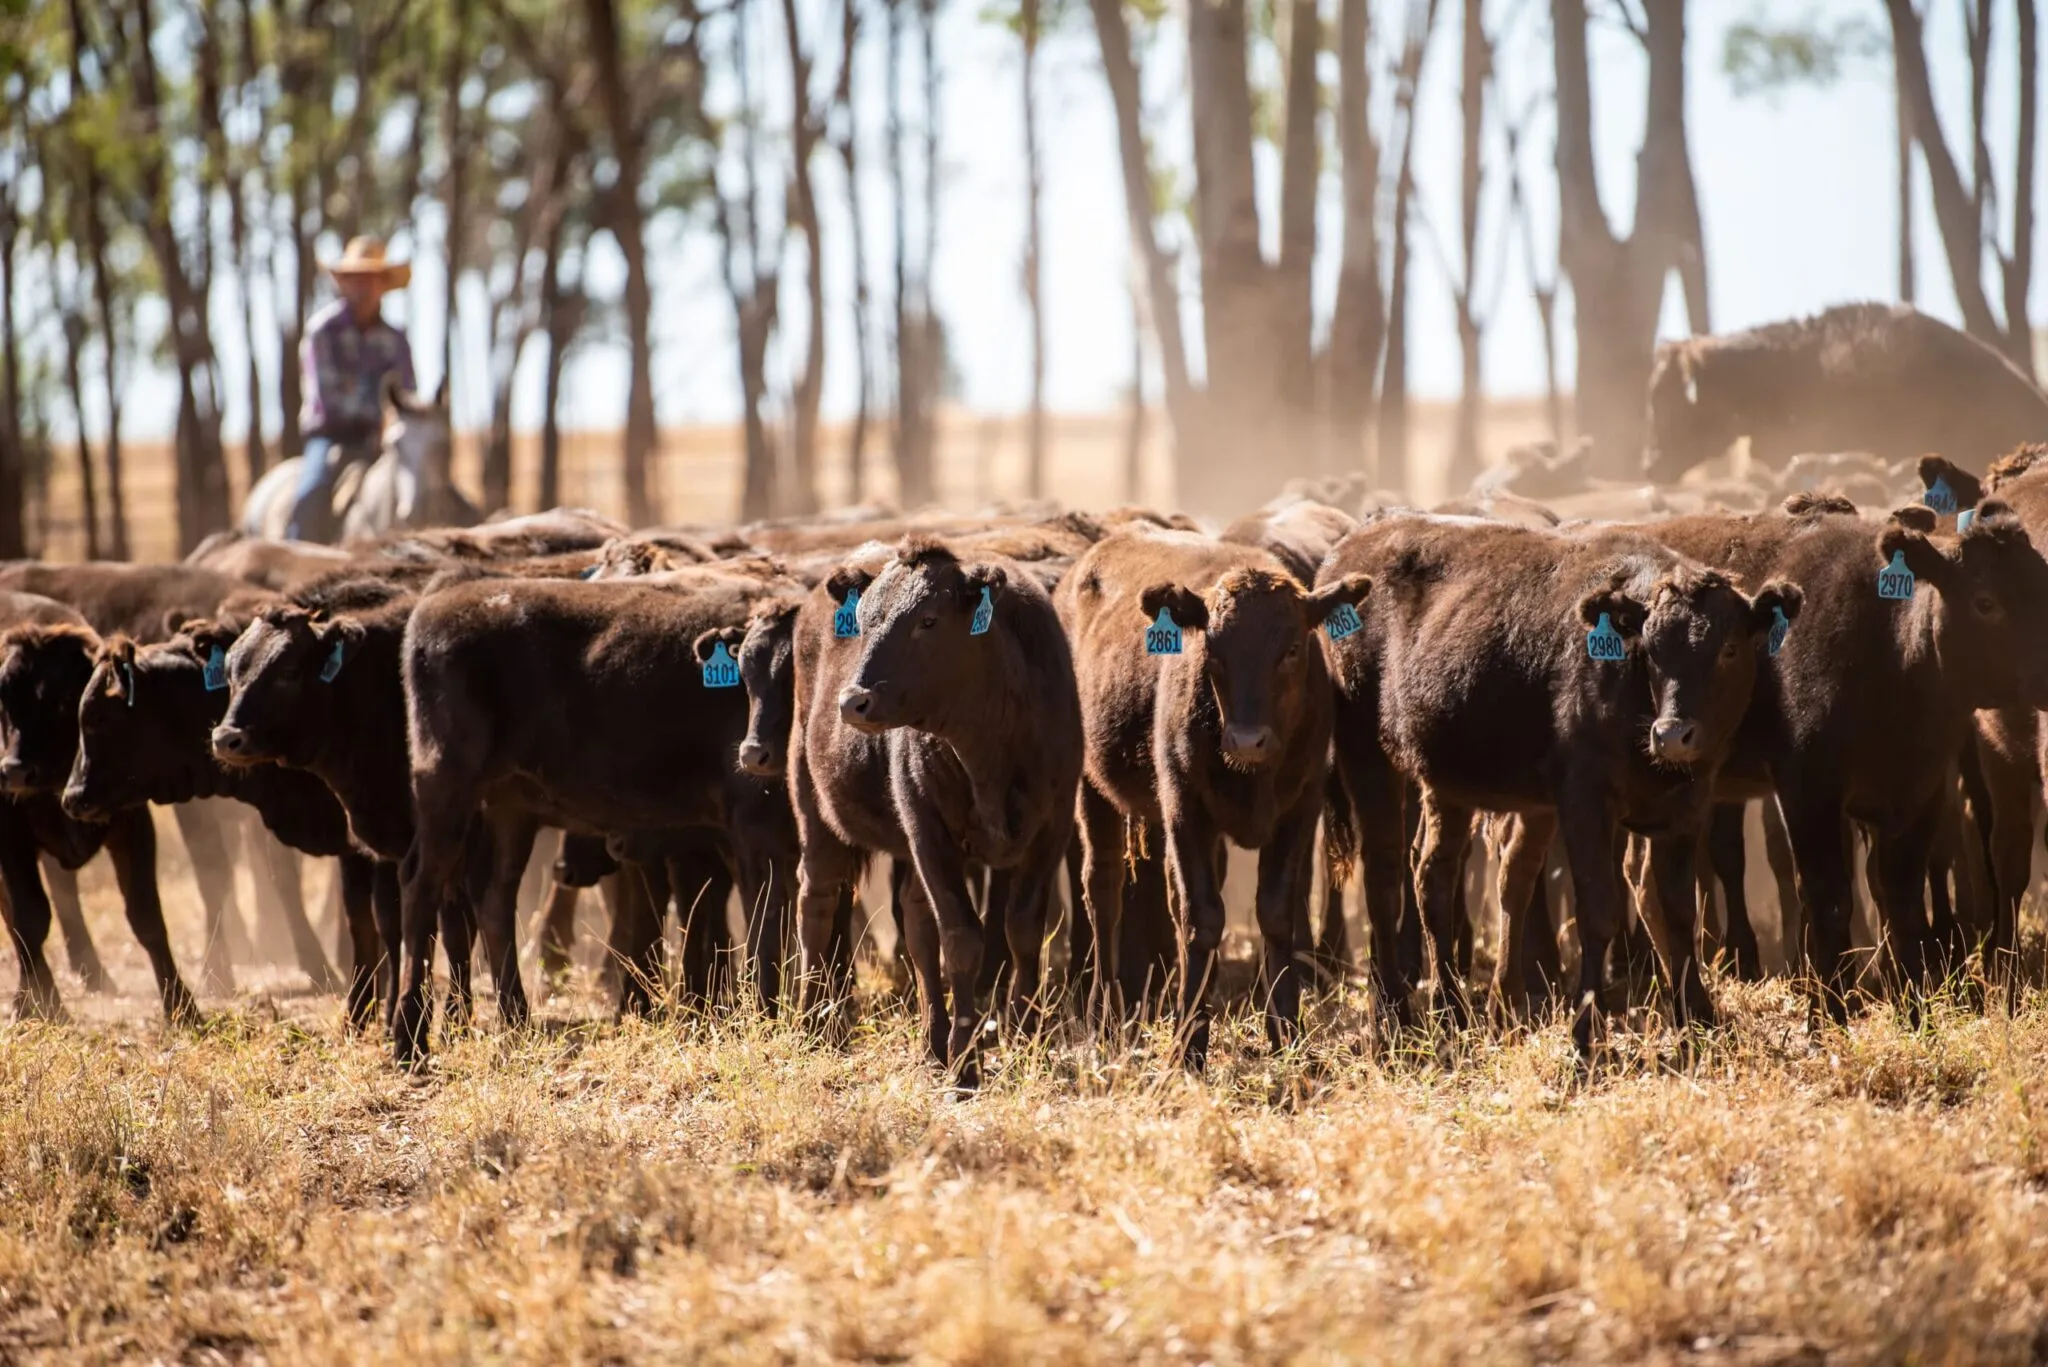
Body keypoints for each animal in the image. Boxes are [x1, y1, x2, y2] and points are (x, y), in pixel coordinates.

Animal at [793, 535, 1082, 1081]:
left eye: (928, 620)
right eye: (863, 621)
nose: (853, 701)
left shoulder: (1050, 827)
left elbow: (1021, 929)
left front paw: (1024, 1035)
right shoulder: (930, 831)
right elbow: (962, 939)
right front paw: (965, 1065)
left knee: (915, 920)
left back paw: (932, 1041)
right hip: (815, 808)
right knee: (816, 901)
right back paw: (810, 1024)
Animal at [1057, 529, 1371, 1068]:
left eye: (1291, 648)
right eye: (1215, 651)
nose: (1246, 740)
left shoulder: (1300, 806)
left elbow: (1276, 913)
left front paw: (1286, 1031)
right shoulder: (1185, 806)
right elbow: (1201, 916)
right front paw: (1189, 1044)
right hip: (1093, 788)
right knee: (1103, 888)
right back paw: (1105, 1012)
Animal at [1321, 515, 1797, 1053]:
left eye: (1729, 649)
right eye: (1652, 653)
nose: (1672, 734)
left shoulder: (1686, 806)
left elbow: (1679, 911)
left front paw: (1697, 1021)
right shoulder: (1584, 800)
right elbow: (1599, 908)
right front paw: (1586, 1034)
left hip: (1448, 782)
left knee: (1433, 874)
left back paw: (1452, 1012)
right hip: (1367, 756)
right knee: (1384, 877)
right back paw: (1393, 1017)